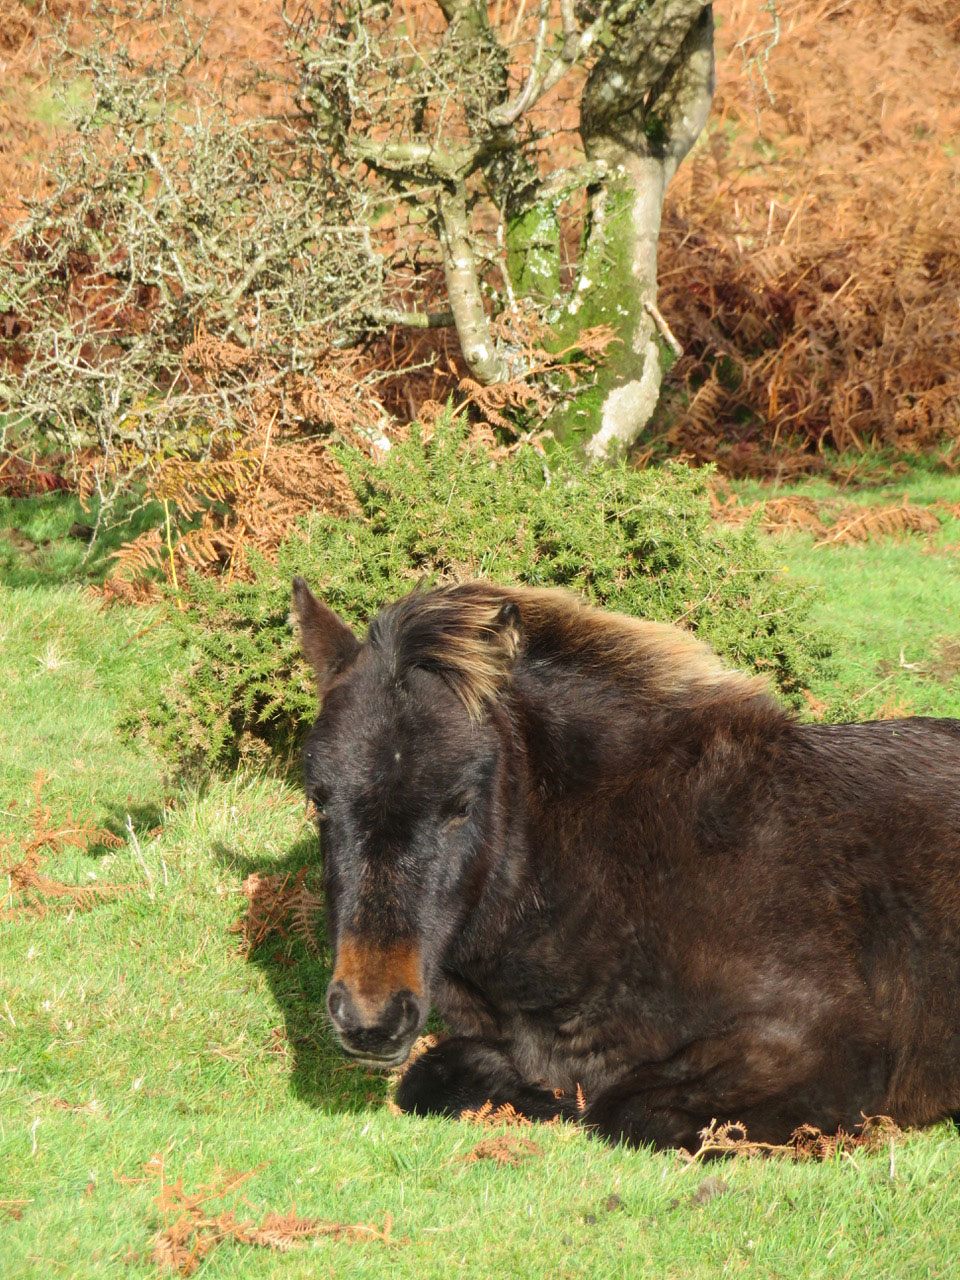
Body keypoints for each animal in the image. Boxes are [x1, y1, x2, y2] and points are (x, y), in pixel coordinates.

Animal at [290, 576, 960, 1150]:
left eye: (461, 802)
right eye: (319, 798)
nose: (371, 1018)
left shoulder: (823, 1042)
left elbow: (622, 1109)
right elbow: (432, 1077)